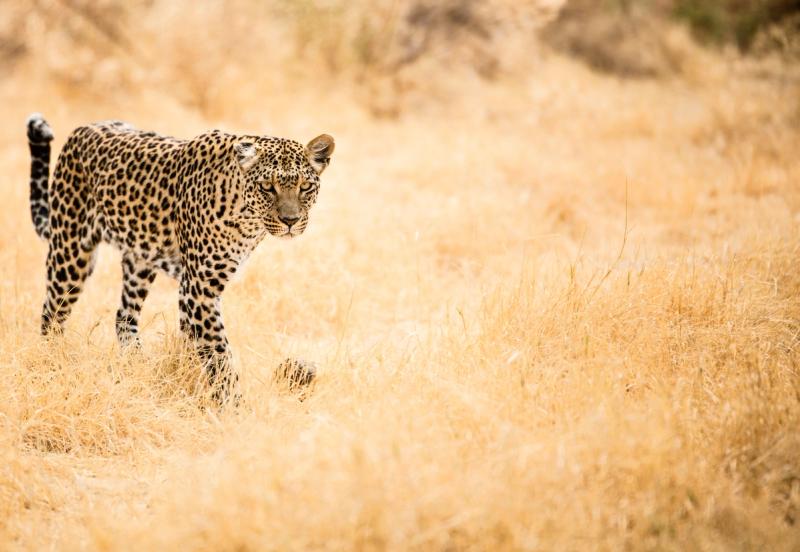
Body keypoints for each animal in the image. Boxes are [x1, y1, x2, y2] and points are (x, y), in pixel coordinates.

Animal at [25, 113, 334, 402]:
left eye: (305, 187)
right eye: (267, 187)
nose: (290, 221)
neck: (247, 218)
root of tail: (83, 128)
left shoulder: (193, 287)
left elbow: (193, 343)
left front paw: (187, 383)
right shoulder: (200, 288)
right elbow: (218, 352)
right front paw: (234, 406)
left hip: (140, 260)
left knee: (124, 317)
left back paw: (137, 365)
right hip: (70, 252)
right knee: (52, 313)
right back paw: (50, 364)